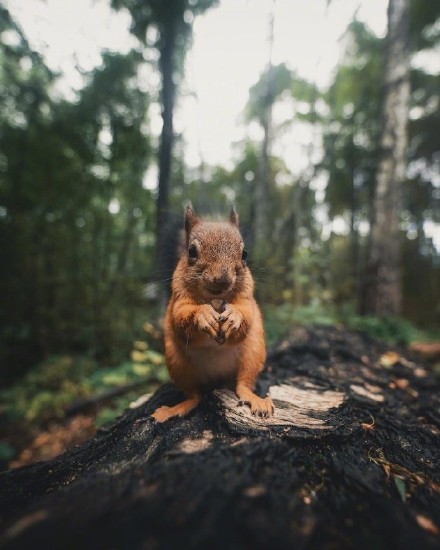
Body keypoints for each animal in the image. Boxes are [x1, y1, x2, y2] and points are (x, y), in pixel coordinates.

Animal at [152, 205, 276, 424]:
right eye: (191, 251)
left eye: (244, 253)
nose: (222, 279)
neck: (215, 300)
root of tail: (217, 379)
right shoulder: (178, 301)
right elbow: (180, 320)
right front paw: (203, 315)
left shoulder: (247, 299)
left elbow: (247, 316)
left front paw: (234, 316)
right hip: (178, 365)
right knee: (194, 396)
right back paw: (174, 409)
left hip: (252, 355)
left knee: (243, 385)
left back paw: (256, 400)